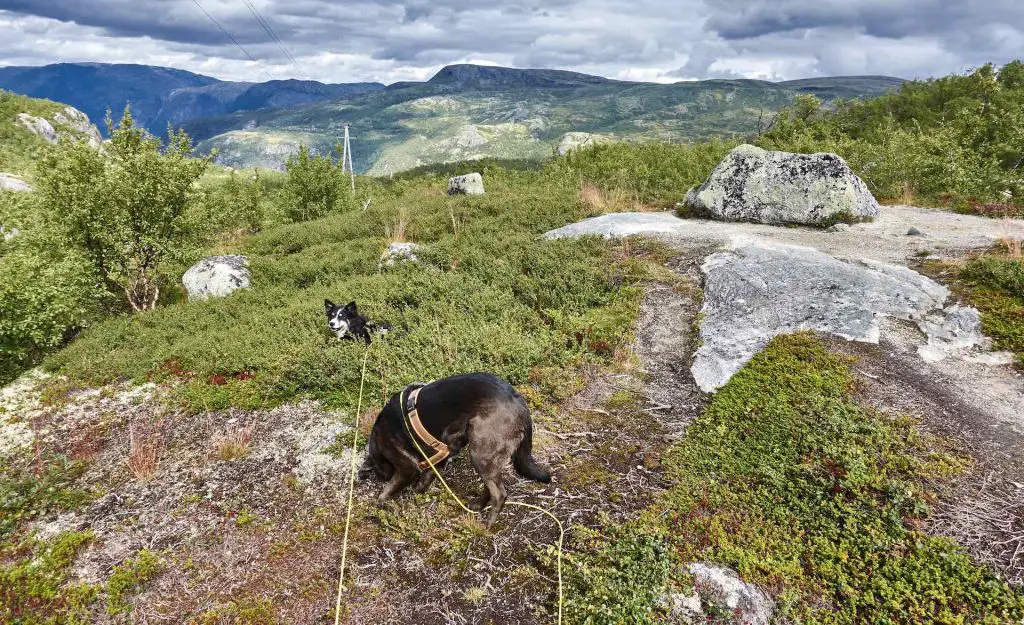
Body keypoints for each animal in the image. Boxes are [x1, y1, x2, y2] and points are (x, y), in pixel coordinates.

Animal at [360, 372, 552, 522]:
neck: (378, 434)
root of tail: (520, 404)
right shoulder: (439, 457)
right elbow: (426, 478)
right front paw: (416, 493)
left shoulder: (407, 468)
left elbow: (384, 494)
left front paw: (383, 504)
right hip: (486, 455)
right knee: (490, 486)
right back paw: (478, 505)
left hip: (480, 451)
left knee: (499, 494)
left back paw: (487, 525)